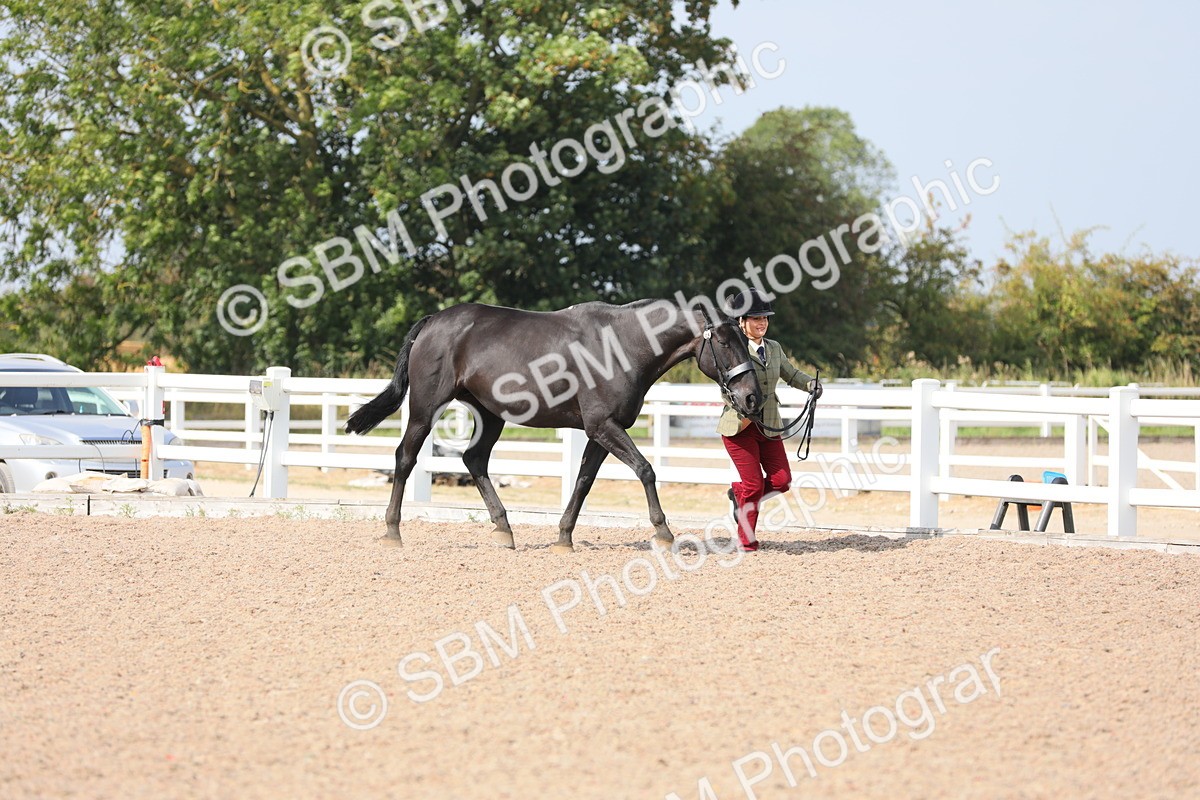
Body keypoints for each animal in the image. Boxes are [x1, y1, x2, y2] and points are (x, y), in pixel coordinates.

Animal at [345, 298, 762, 552]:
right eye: (725, 343)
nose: (751, 398)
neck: (622, 345)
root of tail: (434, 321)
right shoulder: (603, 426)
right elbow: (645, 469)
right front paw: (663, 533)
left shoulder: (600, 431)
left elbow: (583, 481)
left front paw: (564, 537)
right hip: (425, 409)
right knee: (405, 458)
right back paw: (393, 531)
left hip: (490, 415)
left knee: (474, 460)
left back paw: (503, 530)